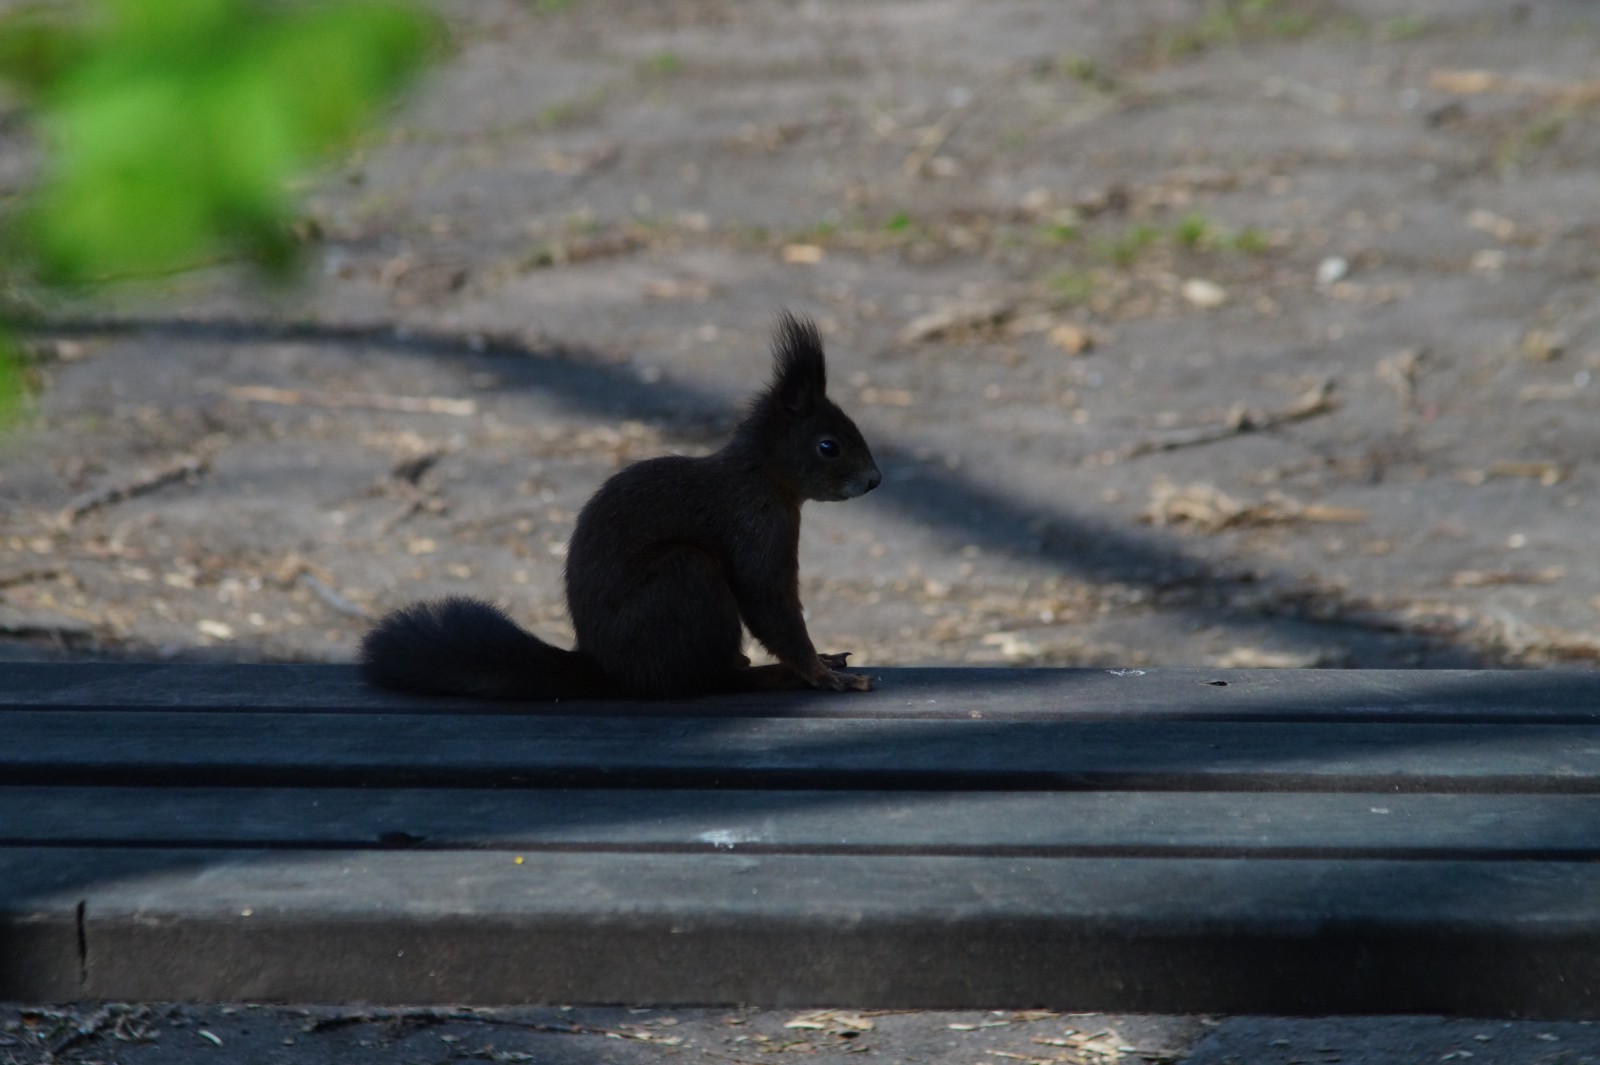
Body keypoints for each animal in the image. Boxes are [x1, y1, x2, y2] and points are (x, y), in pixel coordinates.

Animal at [359, 312, 882, 699]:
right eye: (829, 446)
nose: (875, 480)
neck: (763, 475)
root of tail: (608, 667)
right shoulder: (754, 526)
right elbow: (769, 602)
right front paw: (820, 673)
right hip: (685, 580)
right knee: (708, 678)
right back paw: (768, 674)